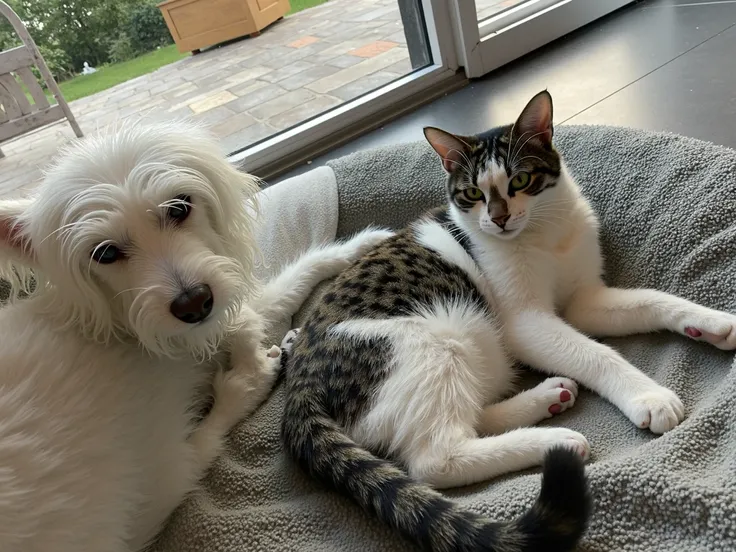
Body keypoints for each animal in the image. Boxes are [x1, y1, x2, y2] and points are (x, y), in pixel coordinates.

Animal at [282, 92, 736, 548]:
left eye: (520, 181)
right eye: (471, 193)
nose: (498, 218)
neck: (544, 234)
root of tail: (298, 382)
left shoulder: (584, 300)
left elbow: (652, 301)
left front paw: (711, 320)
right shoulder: (526, 322)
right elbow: (596, 354)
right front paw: (648, 395)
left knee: (470, 414)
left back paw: (547, 398)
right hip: (441, 337)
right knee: (435, 459)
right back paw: (553, 441)